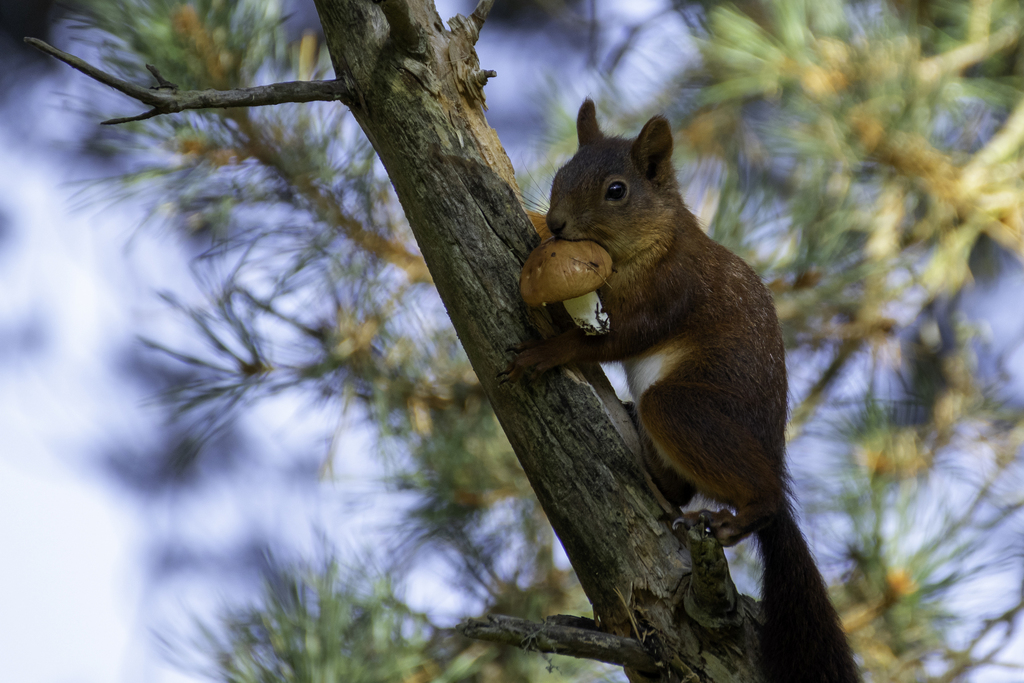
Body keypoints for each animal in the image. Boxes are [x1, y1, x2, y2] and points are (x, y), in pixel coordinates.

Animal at [504, 100, 858, 683]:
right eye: (560, 175)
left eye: (617, 190)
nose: (555, 223)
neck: (656, 243)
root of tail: (773, 453)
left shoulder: (672, 290)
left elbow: (614, 339)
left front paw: (545, 353)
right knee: (676, 486)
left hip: (683, 410)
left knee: (755, 494)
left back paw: (736, 518)